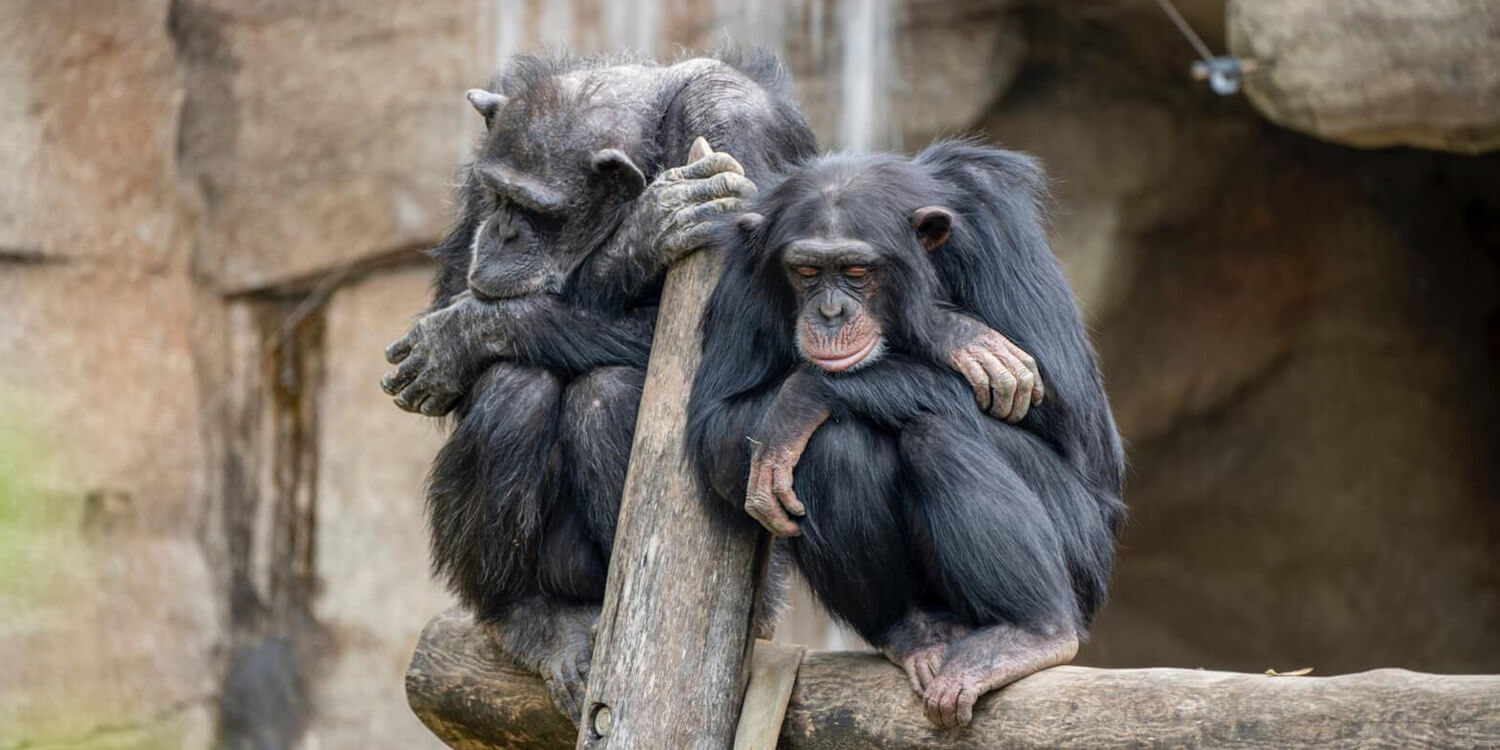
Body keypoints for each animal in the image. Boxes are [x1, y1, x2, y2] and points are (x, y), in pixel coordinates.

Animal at [375, 51, 822, 720]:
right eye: (498, 196)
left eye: (537, 212)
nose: (503, 232)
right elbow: (455, 299)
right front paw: (646, 230)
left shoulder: (741, 133)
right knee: (514, 389)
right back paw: (530, 618)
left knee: (605, 395)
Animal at [687, 139, 1122, 726]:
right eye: (805, 271)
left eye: (856, 270)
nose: (830, 312)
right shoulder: (741, 268)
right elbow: (714, 424)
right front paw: (951, 331)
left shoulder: (999, 226)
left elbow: (1073, 414)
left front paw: (938, 331)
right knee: (832, 448)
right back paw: (913, 631)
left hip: (1084, 551)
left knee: (936, 436)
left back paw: (1030, 634)